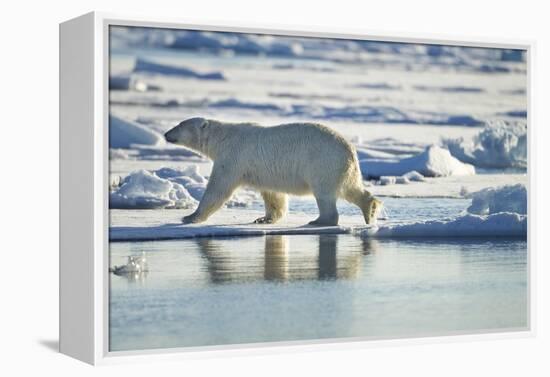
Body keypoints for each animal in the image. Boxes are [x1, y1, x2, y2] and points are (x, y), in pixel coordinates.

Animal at [165, 116, 384, 225]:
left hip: (323, 162)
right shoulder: (264, 171)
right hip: (344, 167)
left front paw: (189, 217)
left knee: (324, 193)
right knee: (351, 188)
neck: (223, 137)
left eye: (179, 124)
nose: (166, 134)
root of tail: (349, 148)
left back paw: (319, 220)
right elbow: (273, 195)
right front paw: (264, 219)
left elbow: (218, 189)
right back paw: (370, 209)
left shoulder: (232, 157)